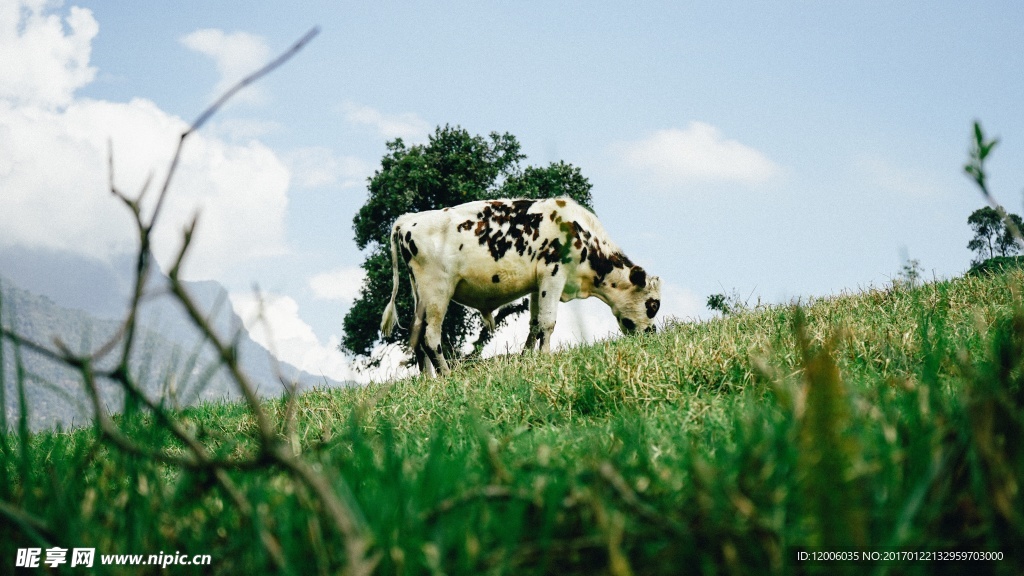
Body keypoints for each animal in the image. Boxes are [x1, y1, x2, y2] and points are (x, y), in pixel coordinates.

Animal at [380, 195, 659, 377]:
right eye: (653, 305)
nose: (652, 334)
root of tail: (408, 219)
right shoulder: (553, 274)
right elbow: (548, 322)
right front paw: (545, 358)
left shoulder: (537, 284)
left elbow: (534, 325)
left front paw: (527, 359)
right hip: (437, 290)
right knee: (430, 336)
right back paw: (446, 376)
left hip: (421, 295)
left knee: (416, 334)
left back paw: (428, 380)